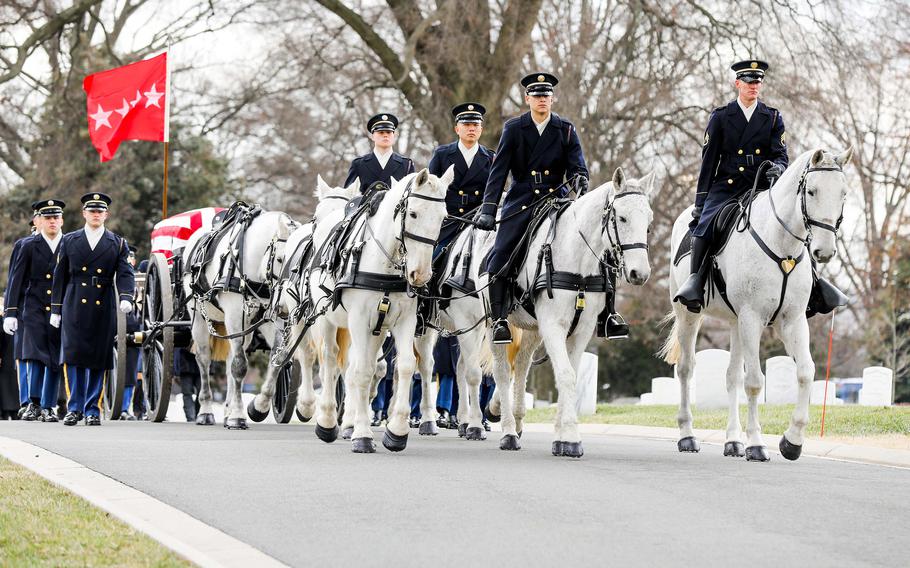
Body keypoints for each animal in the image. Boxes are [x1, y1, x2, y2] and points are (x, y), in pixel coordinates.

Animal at [183, 206, 298, 428]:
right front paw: (238, 416)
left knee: (229, 363)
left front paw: (258, 407)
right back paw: (206, 410)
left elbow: (277, 359)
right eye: (281, 259)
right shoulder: (235, 317)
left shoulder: (271, 319)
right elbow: (239, 366)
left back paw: (227, 411)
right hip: (199, 317)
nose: (286, 305)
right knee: (204, 360)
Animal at [302, 168, 454, 452]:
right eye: (413, 213)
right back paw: (327, 421)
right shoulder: (359, 321)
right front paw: (361, 434)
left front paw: (397, 431)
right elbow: (360, 371)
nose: (421, 275)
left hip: (382, 330)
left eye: (443, 217)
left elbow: (405, 366)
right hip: (327, 321)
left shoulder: (404, 321)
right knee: (330, 359)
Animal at [440, 166, 656, 454]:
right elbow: (565, 375)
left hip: (530, 327)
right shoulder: (553, 326)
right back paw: (503, 430)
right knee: (498, 371)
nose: (639, 274)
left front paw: (561, 436)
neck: (578, 260)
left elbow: (570, 375)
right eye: (621, 218)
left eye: (649, 222)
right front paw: (571, 437)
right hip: (489, 324)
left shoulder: (581, 329)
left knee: (519, 367)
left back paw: (510, 418)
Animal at [664, 148, 856, 462]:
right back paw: (687, 436)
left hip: (735, 322)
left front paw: (792, 441)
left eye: (843, 193)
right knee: (685, 370)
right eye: (812, 191)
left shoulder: (792, 320)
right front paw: (756, 444)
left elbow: (805, 372)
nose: (824, 251)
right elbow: (754, 382)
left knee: (731, 377)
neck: (782, 246)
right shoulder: (752, 318)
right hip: (689, 316)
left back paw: (732, 441)